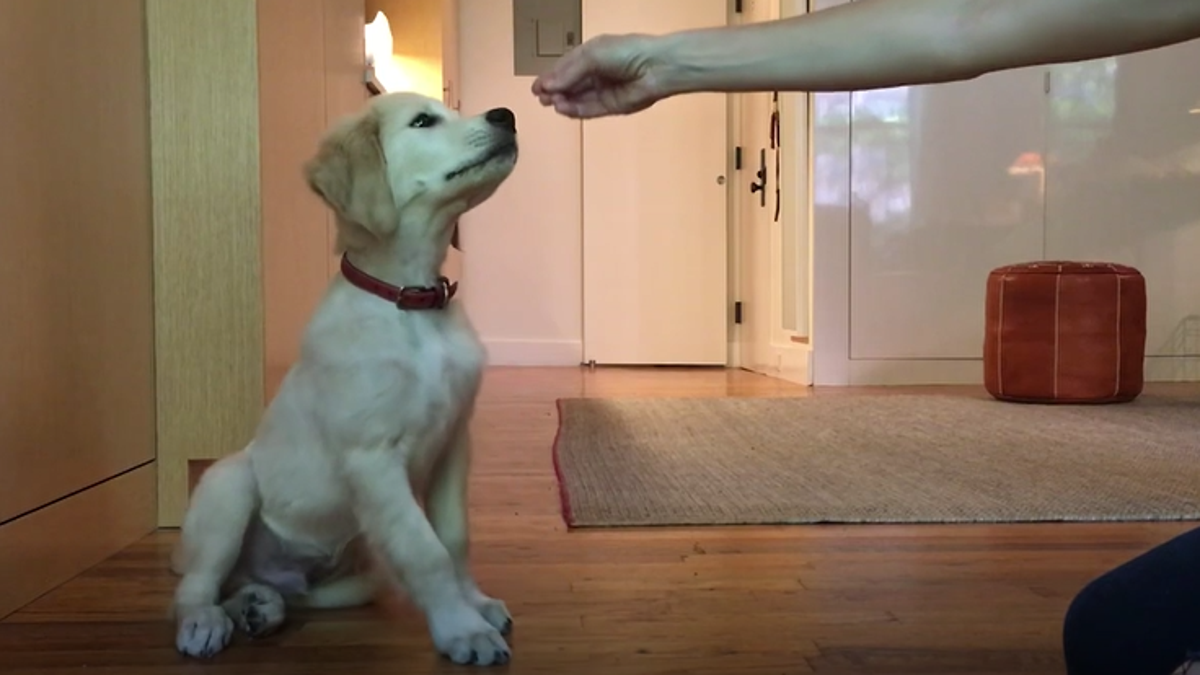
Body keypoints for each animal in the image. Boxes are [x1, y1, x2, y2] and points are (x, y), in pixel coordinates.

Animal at [170, 91, 520, 662]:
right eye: (423, 121)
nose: (506, 116)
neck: (410, 302)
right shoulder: (373, 458)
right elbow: (425, 551)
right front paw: (461, 629)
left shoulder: (454, 442)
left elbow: (452, 537)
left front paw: (474, 603)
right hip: (230, 482)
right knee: (197, 584)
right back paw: (204, 620)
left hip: (357, 578)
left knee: (261, 587)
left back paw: (258, 605)